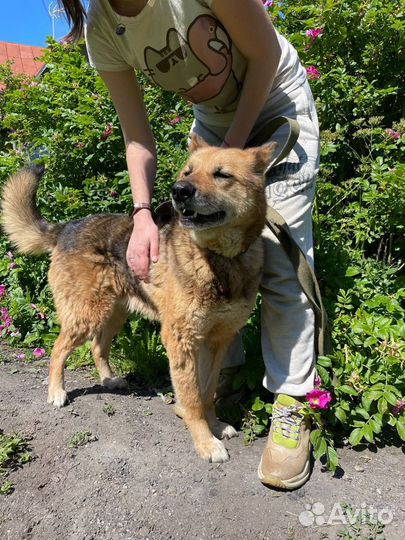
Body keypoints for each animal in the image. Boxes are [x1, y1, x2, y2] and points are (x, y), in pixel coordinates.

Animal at [0, 137, 274, 462]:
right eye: (188, 171)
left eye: (222, 174)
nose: (179, 191)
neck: (220, 259)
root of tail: (66, 227)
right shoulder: (181, 340)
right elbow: (193, 397)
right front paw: (205, 442)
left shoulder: (218, 340)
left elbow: (207, 392)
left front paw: (215, 425)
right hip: (87, 314)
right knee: (58, 349)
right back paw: (56, 391)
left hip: (115, 313)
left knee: (97, 347)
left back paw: (109, 379)